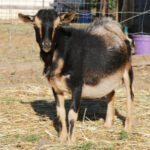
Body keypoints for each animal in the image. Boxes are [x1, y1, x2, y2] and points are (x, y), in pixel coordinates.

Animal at [18, 9, 134, 143]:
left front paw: (71, 141)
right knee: (111, 93)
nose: (46, 45)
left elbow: (72, 114)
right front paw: (62, 139)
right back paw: (107, 124)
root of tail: (112, 26)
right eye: (35, 25)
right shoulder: (55, 88)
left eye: (58, 25)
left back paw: (127, 129)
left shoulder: (77, 85)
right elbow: (60, 113)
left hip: (127, 69)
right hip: (106, 75)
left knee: (130, 96)